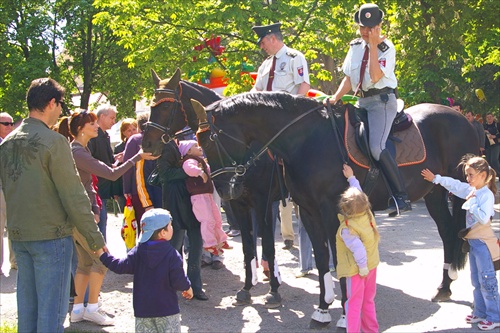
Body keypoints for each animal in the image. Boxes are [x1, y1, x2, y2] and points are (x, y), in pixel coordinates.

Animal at [143, 68, 288, 308]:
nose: (147, 144)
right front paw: (246, 288)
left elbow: (267, 243)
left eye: (164, 106)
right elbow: (248, 247)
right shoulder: (238, 202)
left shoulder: (263, 202)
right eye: (152, 105)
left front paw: (274, 291)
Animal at [188, 91, 480, 326]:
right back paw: (444, 287)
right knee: (446, 232)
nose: (224, 190)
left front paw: (343, 313)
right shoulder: (307, 211)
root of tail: (461, 117)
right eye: (199, 143)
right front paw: (323, 308)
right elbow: (319, 258)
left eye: (211, 140)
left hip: (459, 190)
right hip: (434, 192)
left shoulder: (322, 211)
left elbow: (336, 259)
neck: (305, 142)